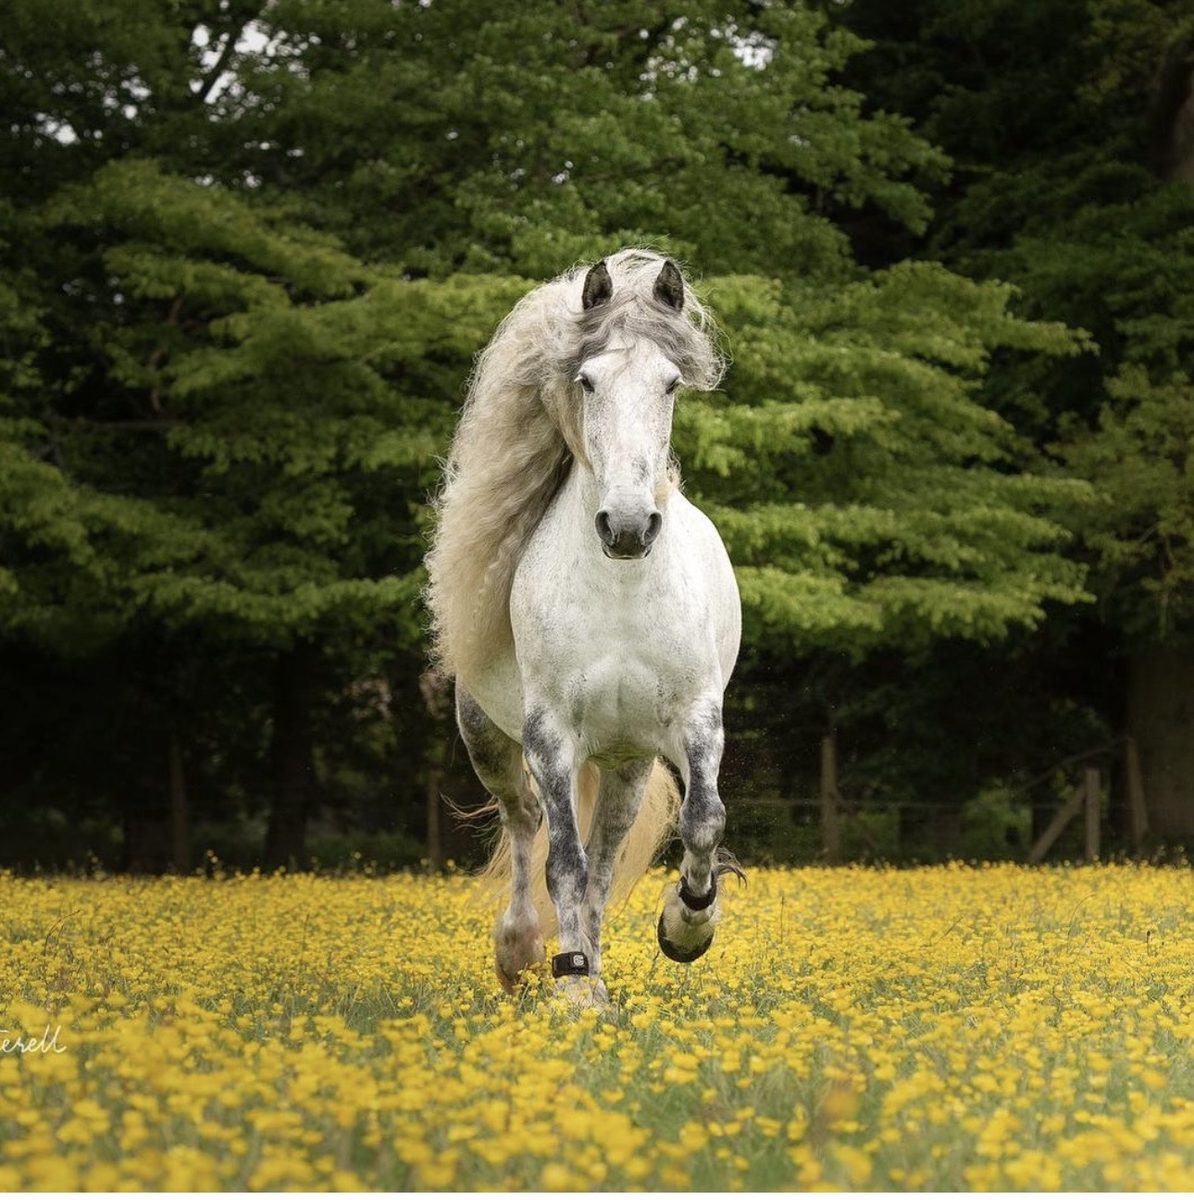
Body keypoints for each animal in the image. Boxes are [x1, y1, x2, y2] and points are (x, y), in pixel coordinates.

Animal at [425, 248, 742, 1003]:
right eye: (588, 380)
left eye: (670, 384)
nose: (627, 527)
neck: (621, 590)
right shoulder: (551, 736)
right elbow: (559, 864)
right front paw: (570, 994)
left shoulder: (694, 719)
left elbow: (702, 821)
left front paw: (686, 927)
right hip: (491, 740)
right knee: (525, 824)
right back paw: (524, 952)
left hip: (626, 765)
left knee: (603, 860)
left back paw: (597, 969)